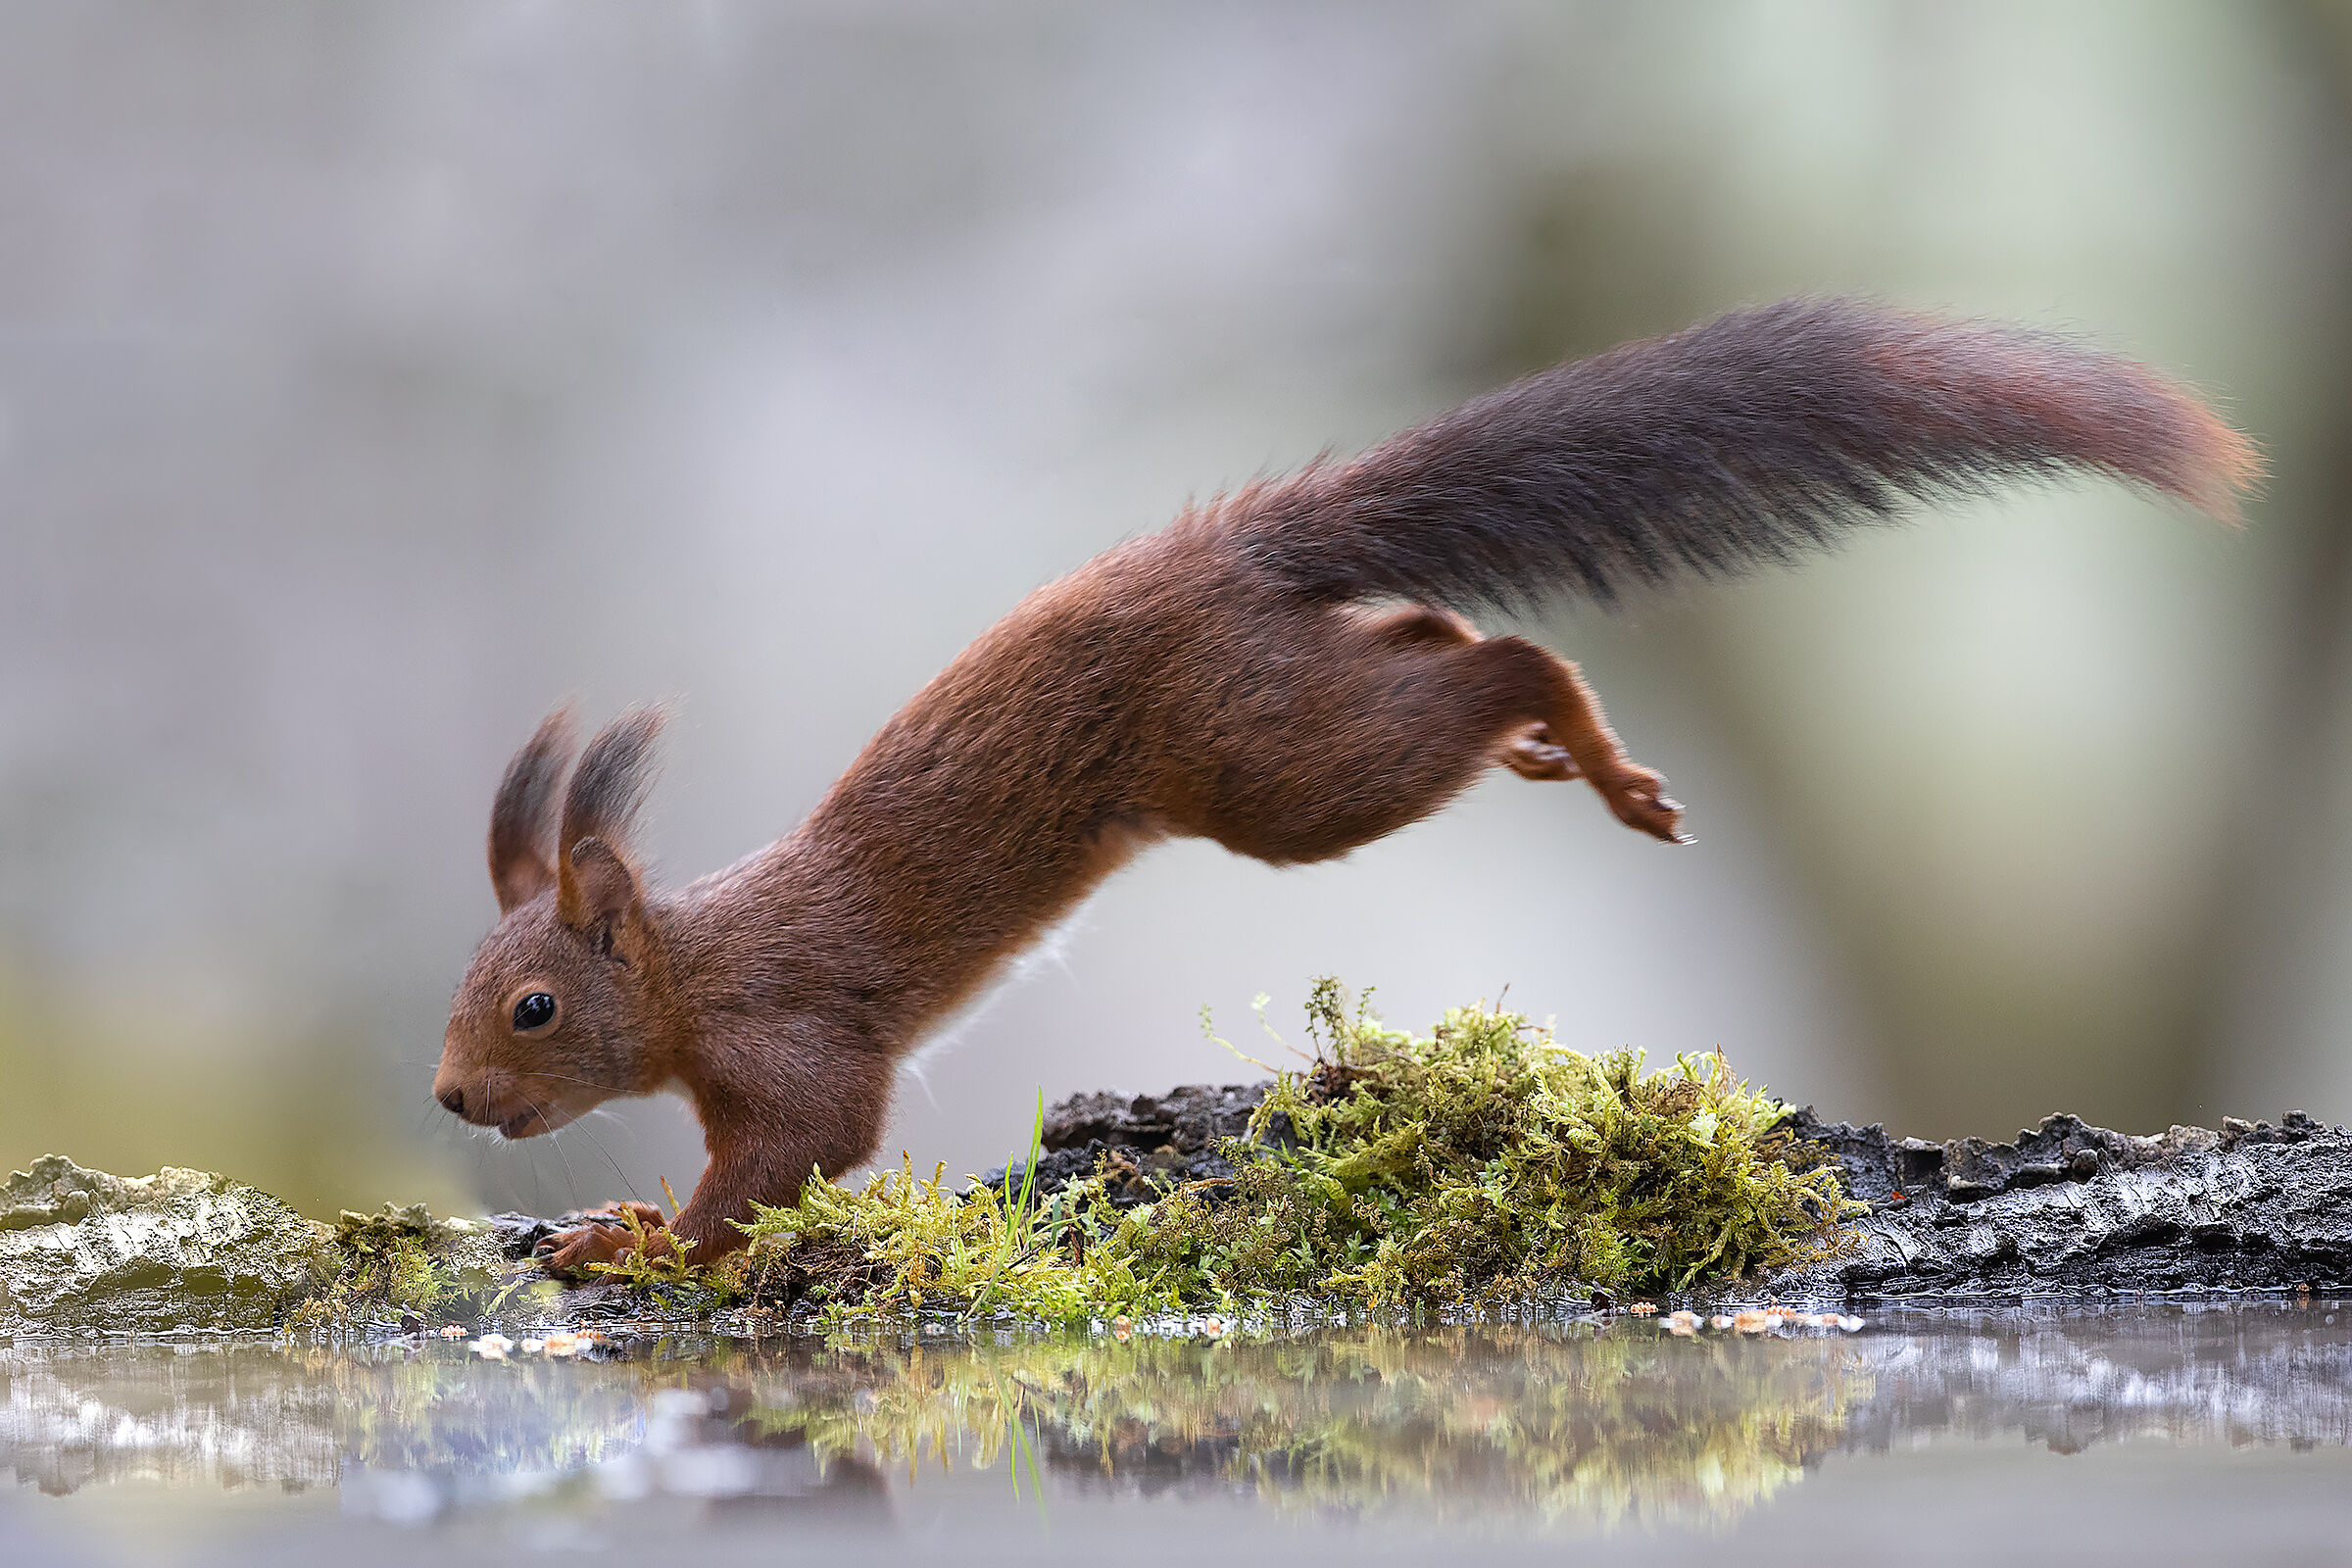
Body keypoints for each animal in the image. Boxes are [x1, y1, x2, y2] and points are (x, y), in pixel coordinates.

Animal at [431, 297, 2258, 1274]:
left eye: (531, 1006)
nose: (449, 1099)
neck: (690, 969)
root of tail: (1233, 548)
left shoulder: (795, 1040)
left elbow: (801, 1156)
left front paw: (638, 1240)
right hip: (1290, 710)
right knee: (1428, 631)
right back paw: (1538, 735)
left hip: (1268, 765)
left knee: (1499, 652)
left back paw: (1582, 744)